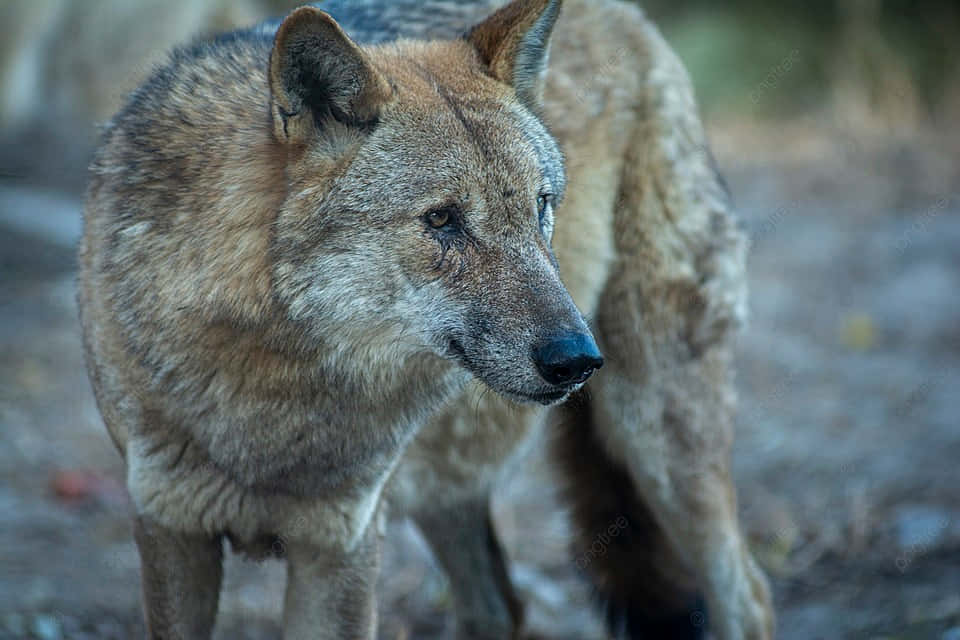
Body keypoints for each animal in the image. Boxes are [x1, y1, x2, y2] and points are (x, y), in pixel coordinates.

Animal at [79, 1, 776, 640]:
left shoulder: (344, 548)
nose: (577, 360)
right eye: (442, 219)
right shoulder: (169, 530)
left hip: (657, 436)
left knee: (749, 594)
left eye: (540, 206)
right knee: (500, 606)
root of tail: (632, 17)